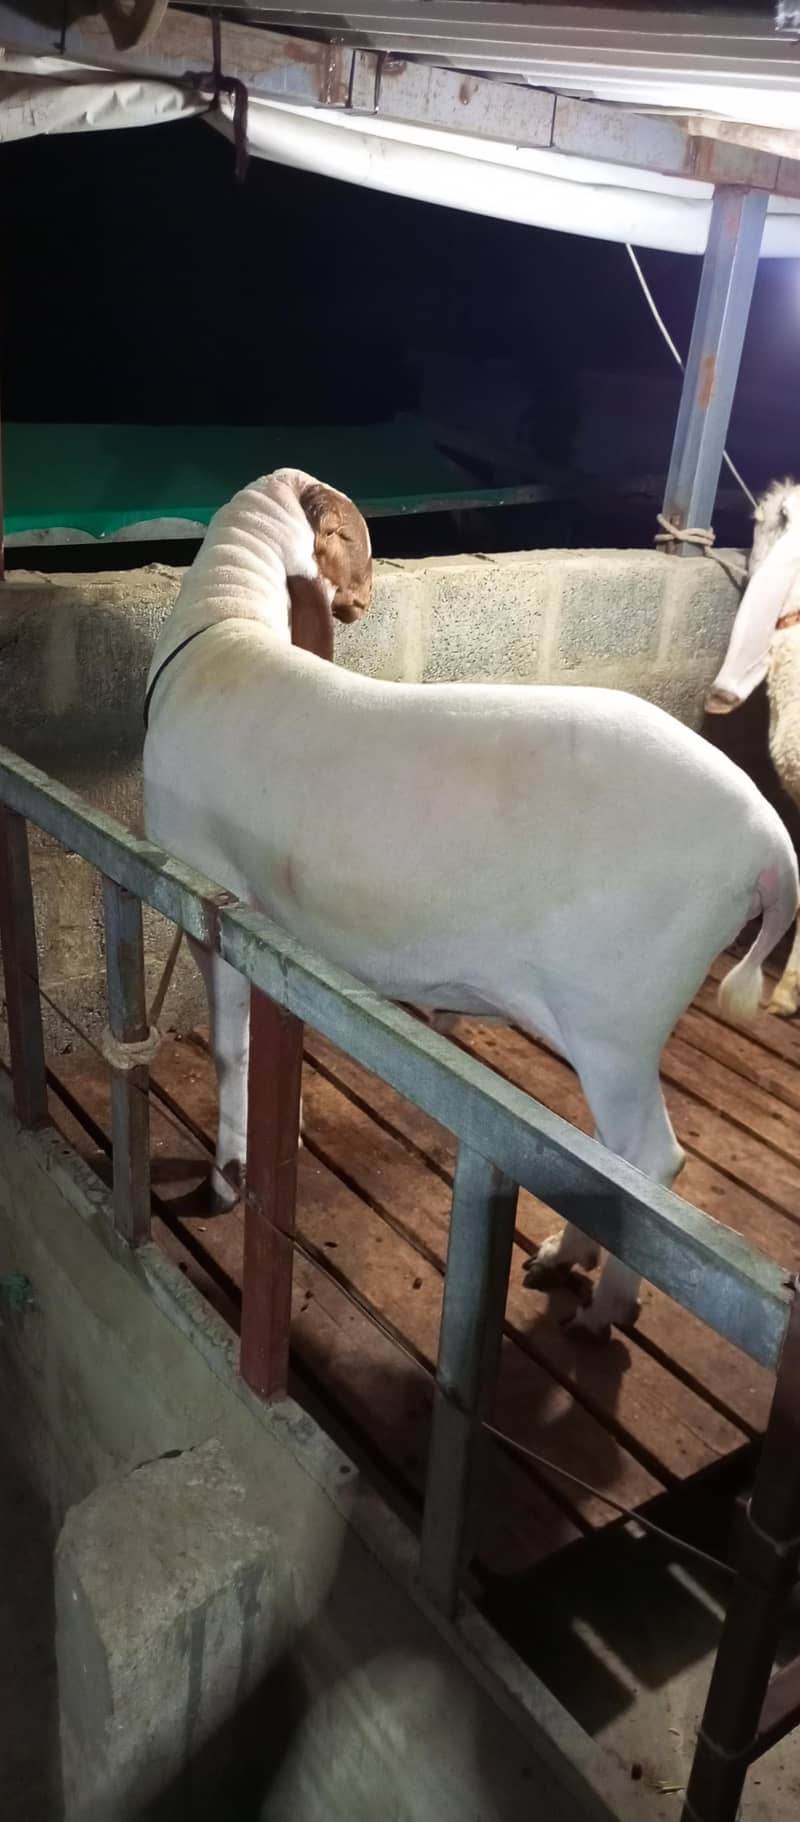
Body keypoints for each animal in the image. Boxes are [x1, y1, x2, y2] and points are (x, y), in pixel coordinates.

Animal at [143, 468, 798, 1339]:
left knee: (653, 1161)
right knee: (618, 1160)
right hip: (613, 1025)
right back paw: (565, 1258)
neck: (221, 631)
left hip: (616, 1013)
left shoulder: (209, 893)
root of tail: (771, 849)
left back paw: (604, 1305)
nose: (362, 603)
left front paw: (224, 1176)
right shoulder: (277, 923)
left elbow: (229, 1051)